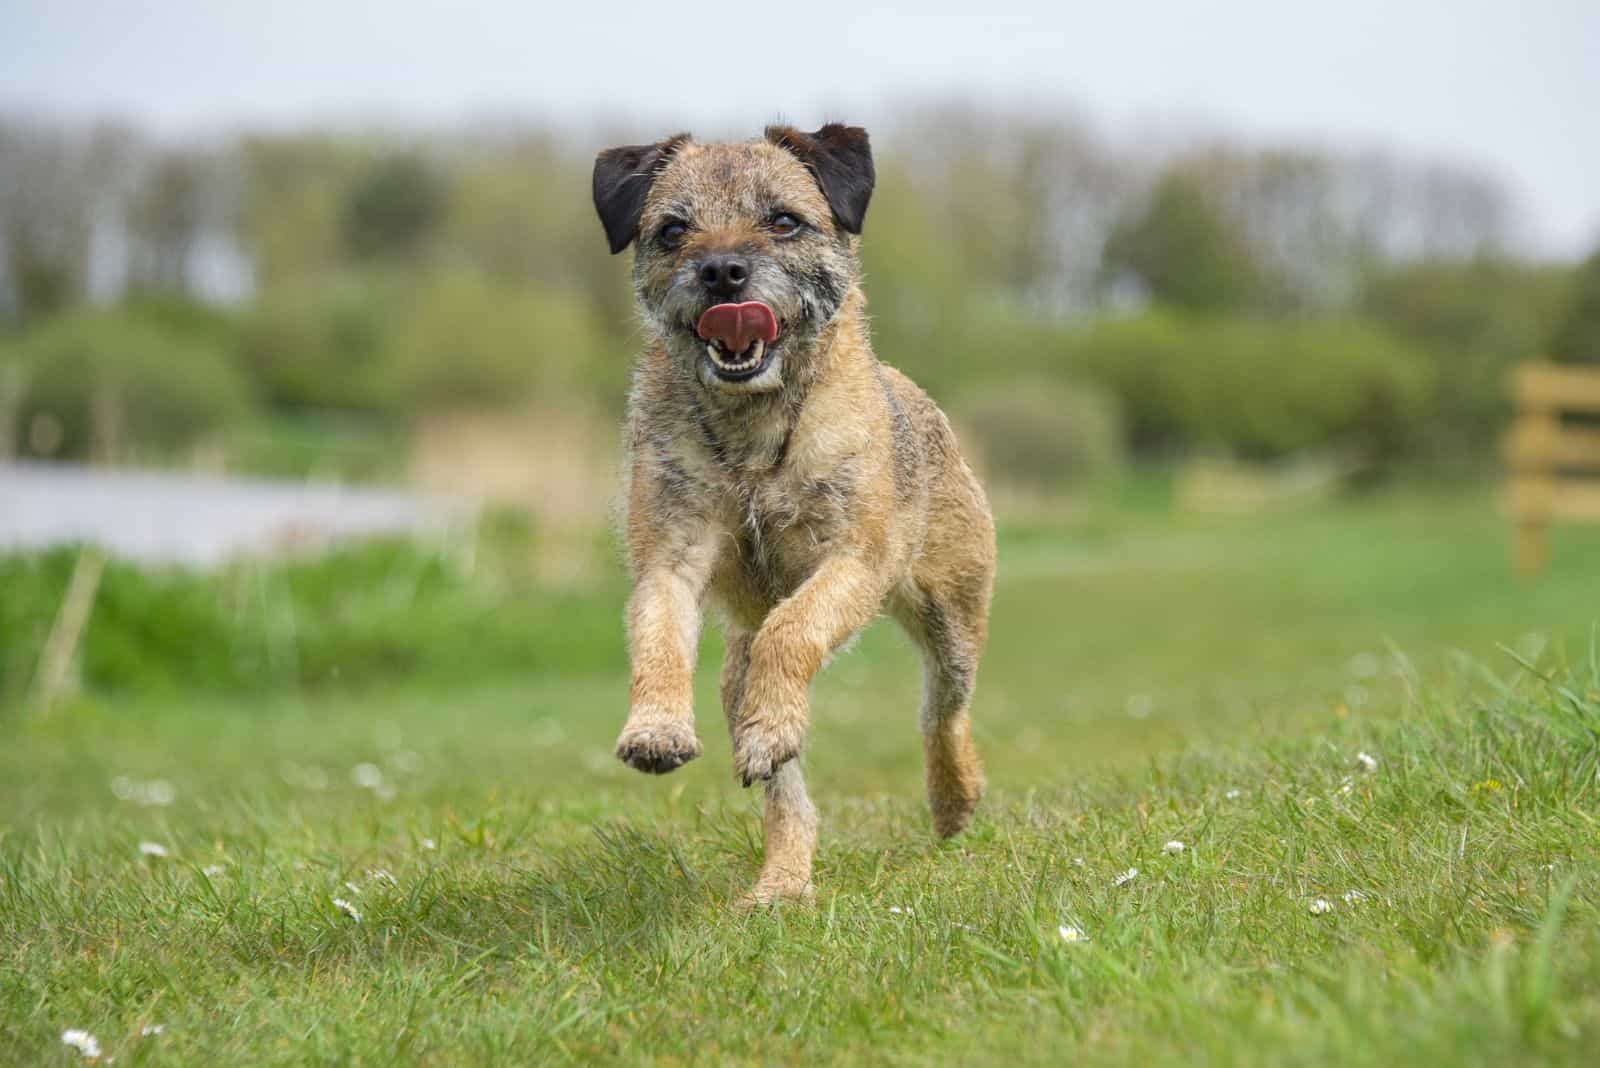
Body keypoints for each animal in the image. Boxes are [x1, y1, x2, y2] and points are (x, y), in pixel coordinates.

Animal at [595, 123, 992, 901]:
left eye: (783, 221)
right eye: (673, 230)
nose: (722, 273)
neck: (754, 424)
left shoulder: (853, 563)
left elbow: (794, 628)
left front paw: (772, 722)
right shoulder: (670, 558)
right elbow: (658, 634)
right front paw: (656, 728)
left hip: (954, 617)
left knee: (942, 710)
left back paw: (953, 799)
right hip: (734, 673)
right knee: (787, 793)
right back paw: (783, 879)